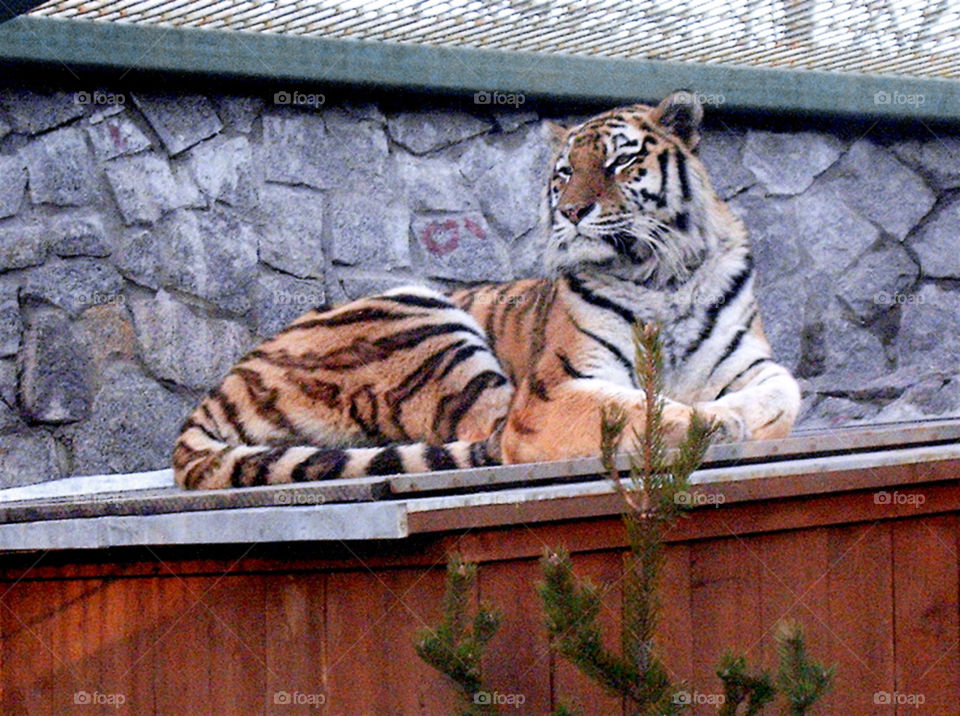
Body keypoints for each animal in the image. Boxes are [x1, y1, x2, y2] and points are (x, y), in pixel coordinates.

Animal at [174, 89, 804, 490]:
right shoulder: (553, 393)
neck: (660, 277)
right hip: (423, 321)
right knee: (491, 436)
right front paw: (712, 422)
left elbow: (783, 390)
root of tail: (225, 384)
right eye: (564, 172)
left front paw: (731, 414)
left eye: (619, 162)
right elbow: (641, 406)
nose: (571, 212)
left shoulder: (752, 364)